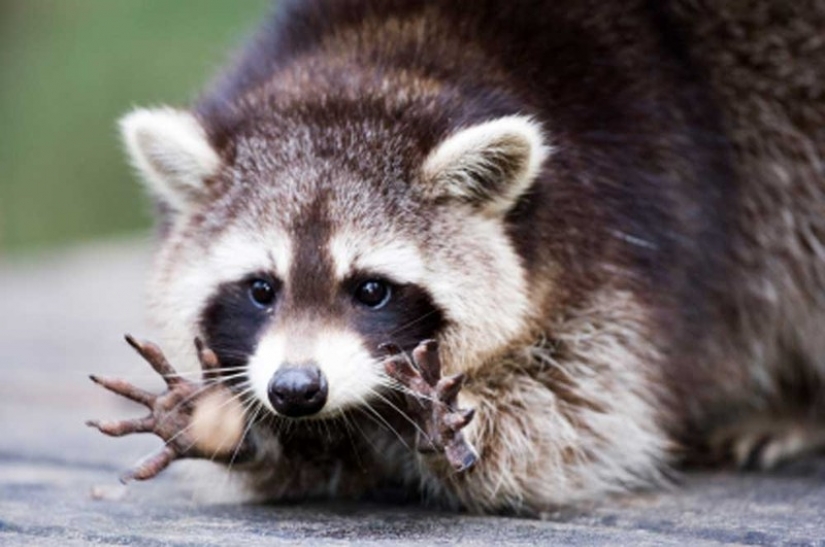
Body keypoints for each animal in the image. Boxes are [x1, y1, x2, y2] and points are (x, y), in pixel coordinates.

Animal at [93, 0, 825, 514]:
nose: (297, 391)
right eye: (260, 289)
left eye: (371, 290)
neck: (385, 55)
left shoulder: (635, 226)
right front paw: (240, 425)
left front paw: (431, 424)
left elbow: (575, 419)